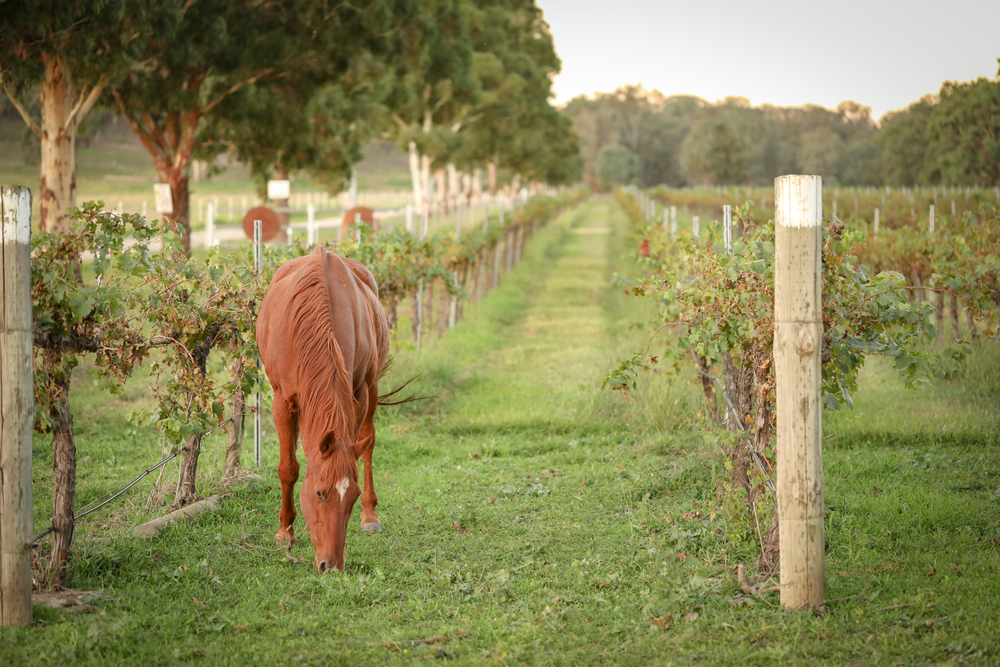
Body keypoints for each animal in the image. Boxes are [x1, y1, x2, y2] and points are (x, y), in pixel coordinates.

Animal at [256, 245, 388, 576]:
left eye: (352, 496)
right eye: (319, 493)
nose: (332, 565)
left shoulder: (358, 392)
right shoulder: (282, 399)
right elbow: (289, 468)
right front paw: (284, 532)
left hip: (372, 387)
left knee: (368, 442)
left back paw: (371, 517)